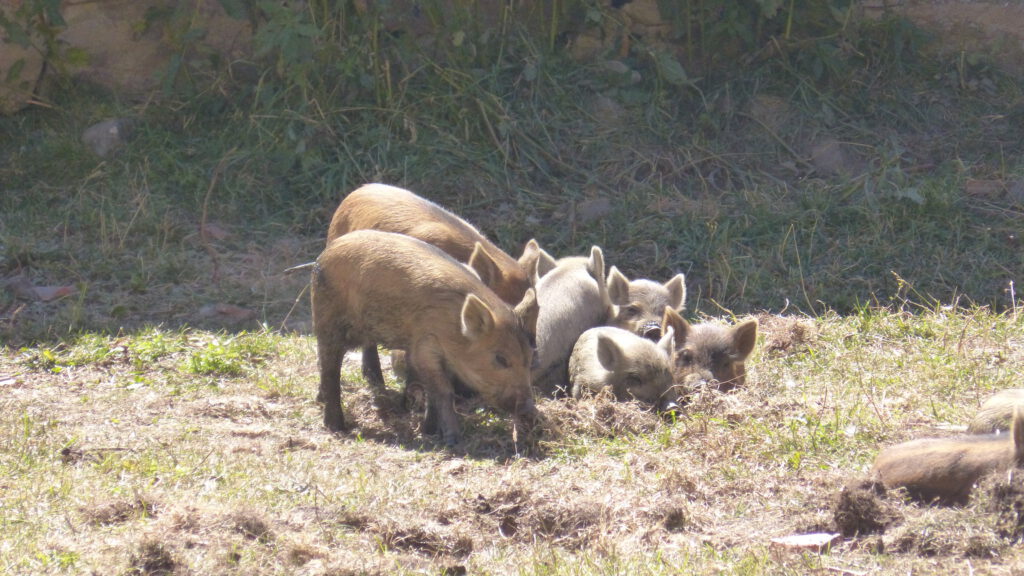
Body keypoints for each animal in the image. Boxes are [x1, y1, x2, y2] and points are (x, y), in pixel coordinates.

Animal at [309, 228, 536, 444]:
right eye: (501, 358)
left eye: (529, 358)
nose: (528, 408)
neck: (454, 329)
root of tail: (324, 254)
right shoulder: (425, 345)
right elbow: (442, 390)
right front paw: (452, 439)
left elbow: (432, 391)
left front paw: (429, 431)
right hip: (327, 320)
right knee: (330, 369)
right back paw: (337, 426)